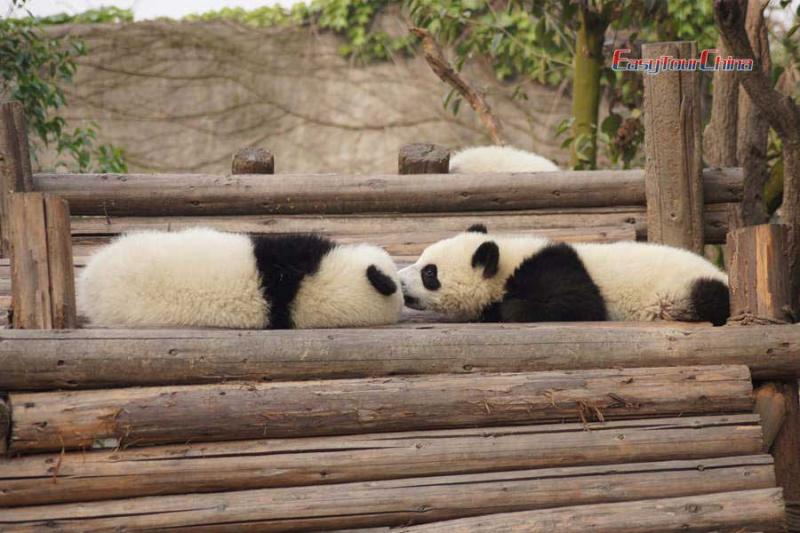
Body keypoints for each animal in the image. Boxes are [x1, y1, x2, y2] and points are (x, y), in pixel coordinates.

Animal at [400, 223, 732, 326]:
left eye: (429, 272)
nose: (400, 281)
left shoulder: (555, 270)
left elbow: (578, 303)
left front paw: (502, 309)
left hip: (684, 289)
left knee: (710, 297)